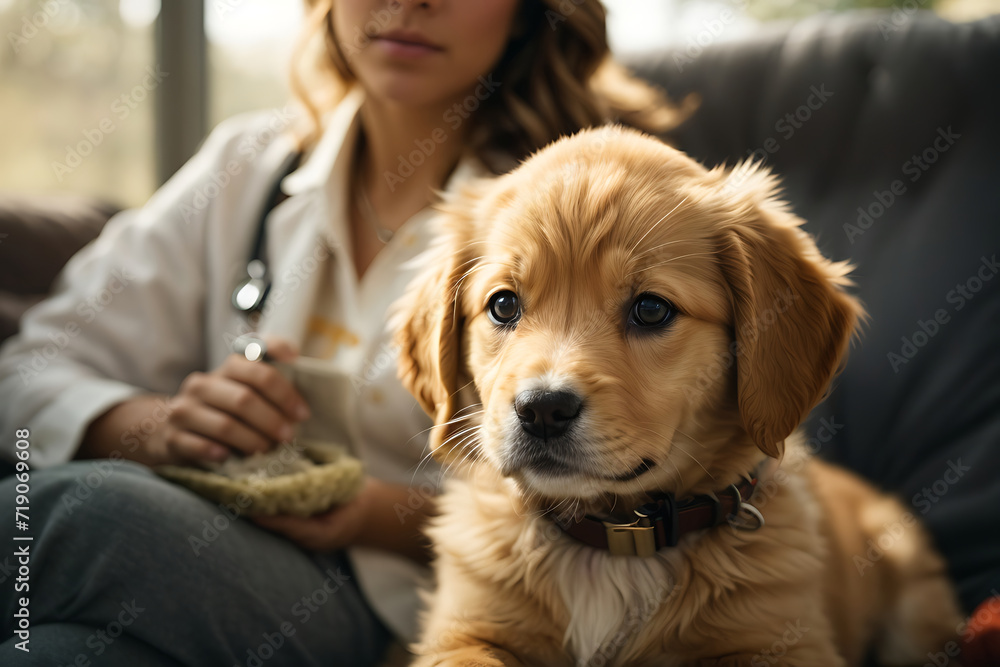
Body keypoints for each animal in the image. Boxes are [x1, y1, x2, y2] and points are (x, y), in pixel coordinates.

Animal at [394, 126, 964, 667]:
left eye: (651, 309)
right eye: (503, 305)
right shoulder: (463, 632)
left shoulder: (783, 643)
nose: (542, 410)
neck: (619, 541)